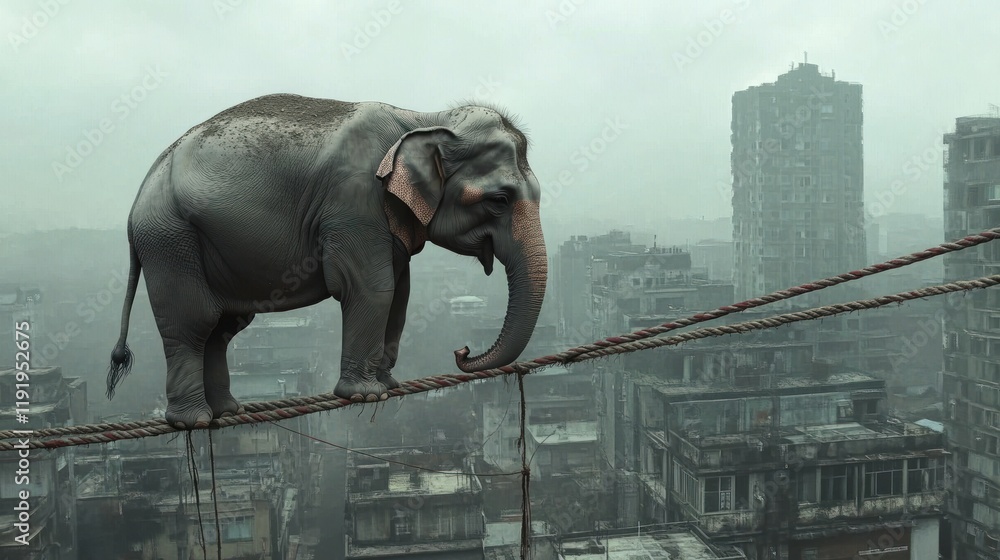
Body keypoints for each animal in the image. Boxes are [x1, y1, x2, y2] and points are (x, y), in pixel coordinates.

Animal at [106, 93, 547, 429]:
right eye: (500, 199)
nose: (462, 351)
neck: (423, 118)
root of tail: (138, 196)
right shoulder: (354, 203)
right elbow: (372, 288)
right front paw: (366, 394)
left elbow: (400, 293)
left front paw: (389, 385)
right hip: (169, 239)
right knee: (193, 322)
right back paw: (193, 420)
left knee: (223, 326)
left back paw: (225, 412)